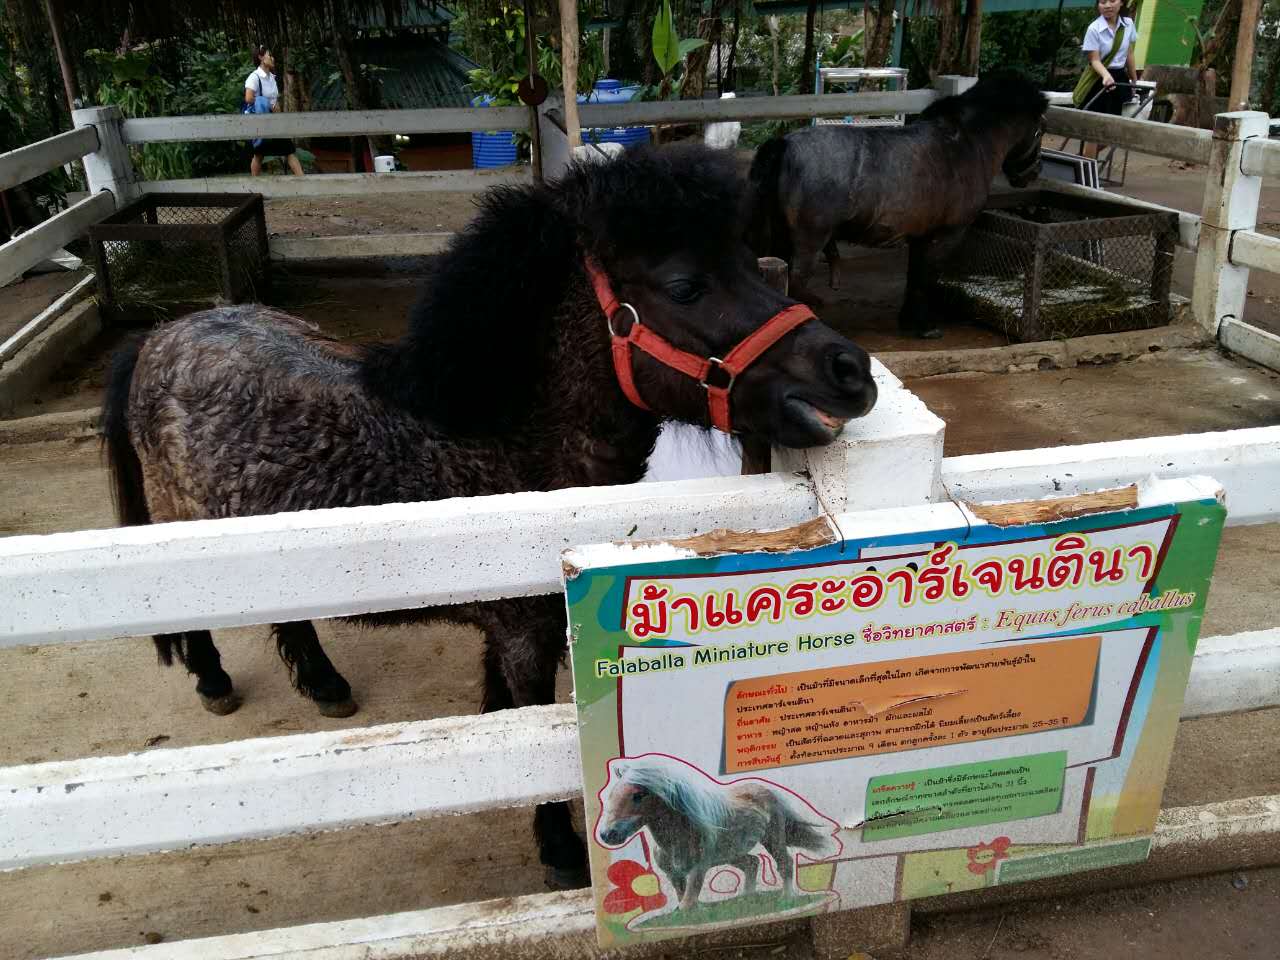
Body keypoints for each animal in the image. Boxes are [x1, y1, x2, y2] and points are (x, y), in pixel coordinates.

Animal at [102, 146, 880, 890]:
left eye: (750, 264)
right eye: (686, 285)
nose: (851, 372)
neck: (499, 444)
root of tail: (161, 333)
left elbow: (504, 715)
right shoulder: (523, 633)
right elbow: (531, 730)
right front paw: (559, 848)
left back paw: (325, 685)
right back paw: (214, 680)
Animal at [747, 71, 1049, 335]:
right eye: (1041, 130)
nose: (1033, 173)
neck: (967, 143)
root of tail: (784, 145)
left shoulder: (922, 235)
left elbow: (915, 276)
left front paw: (909, 321)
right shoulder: (947, 234)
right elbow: (926, 278)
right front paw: (924, 326)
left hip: (782, 236)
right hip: (809, 242)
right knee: (797, 281)